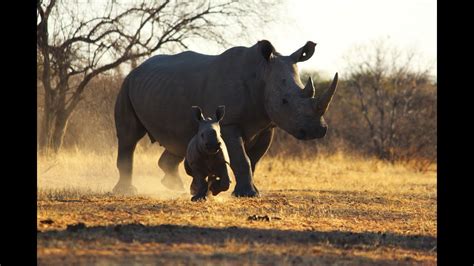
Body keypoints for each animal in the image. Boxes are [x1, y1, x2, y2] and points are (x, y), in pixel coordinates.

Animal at [113, 40, 338, 197]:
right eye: (284, 101)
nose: (318, 131)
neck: (262, 72)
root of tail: (136, 69)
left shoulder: (267, 126)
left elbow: (253, 160)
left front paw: (250, 191)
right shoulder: (229, 123)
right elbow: (241, 158)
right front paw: (247, 194)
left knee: (180, 138)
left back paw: (175, 186)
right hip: (126, 85)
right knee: (129, 137)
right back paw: (126, 191)